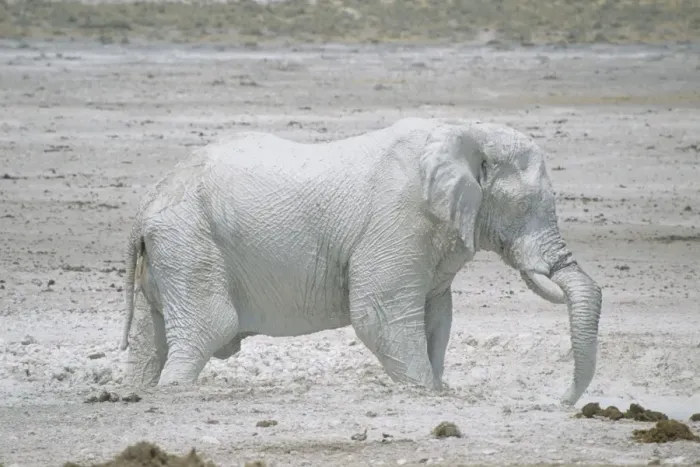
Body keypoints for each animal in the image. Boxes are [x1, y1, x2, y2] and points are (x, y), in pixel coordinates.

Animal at [119, 117, 602, 406]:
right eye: (523, 206)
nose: (560, 401)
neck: (465, 131)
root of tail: (145, 206)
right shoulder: (399, 218)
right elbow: (379, 314)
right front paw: (426, 392)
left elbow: (436, 318)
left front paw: (437, 390)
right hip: (188, 242)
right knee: (209, 327)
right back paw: (174, 391)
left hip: (171, 252)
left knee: (151, 340)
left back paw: (140, 391)